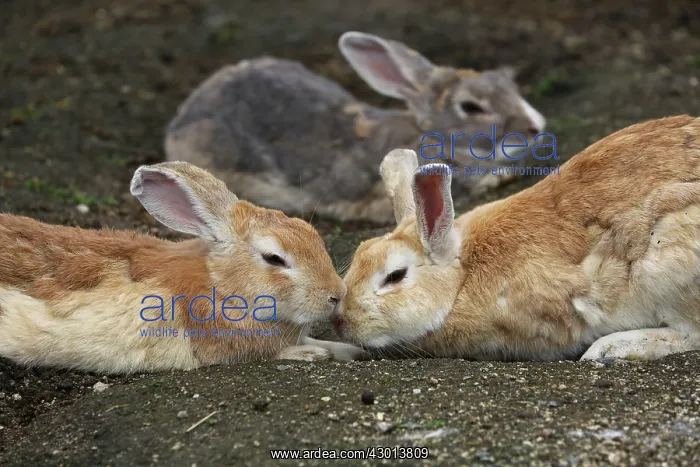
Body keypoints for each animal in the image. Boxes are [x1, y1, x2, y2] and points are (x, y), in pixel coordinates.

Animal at [0, 161, 365, 374]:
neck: (223, 286)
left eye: (311, 232)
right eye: (274, 258)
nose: (336, 295)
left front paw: (349, 351)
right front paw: (311, 356)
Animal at [330, 115, 700, 362]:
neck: (462, 278)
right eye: (360, 254)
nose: (340, 321)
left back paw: (608, 349)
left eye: (395, 276)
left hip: (666, 266)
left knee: (689, 333)